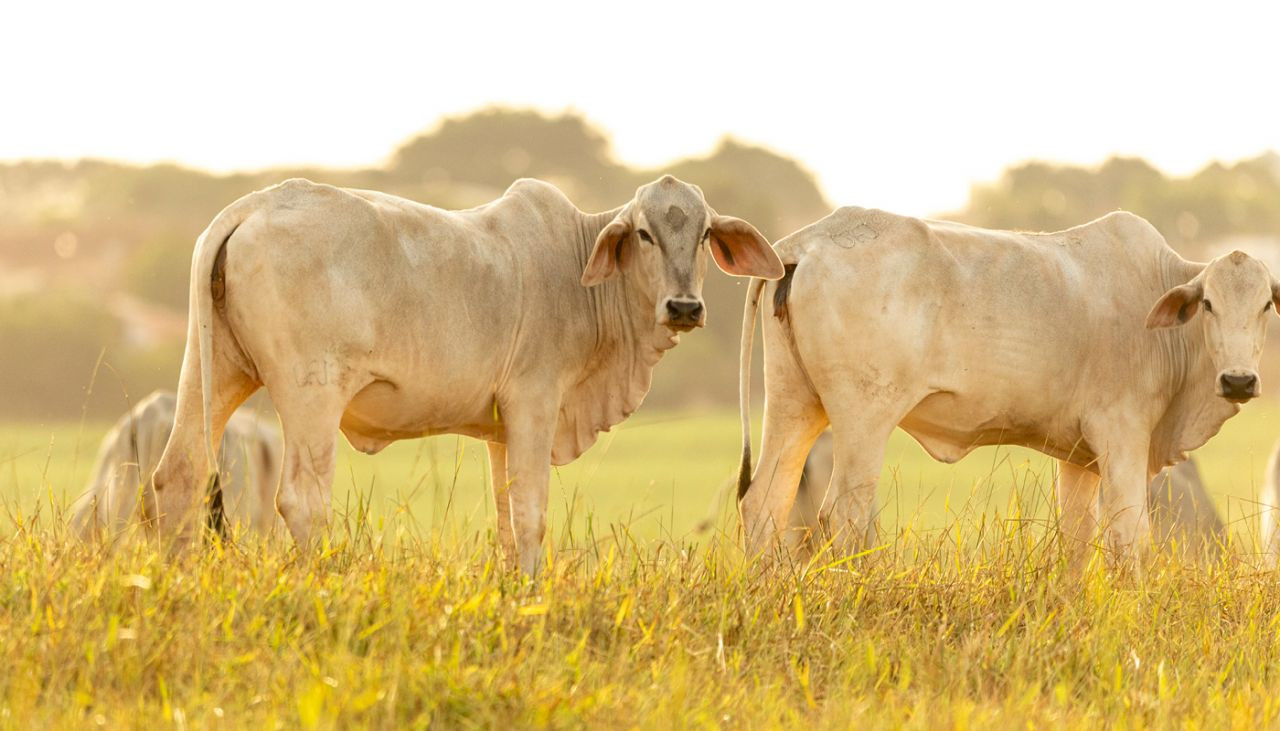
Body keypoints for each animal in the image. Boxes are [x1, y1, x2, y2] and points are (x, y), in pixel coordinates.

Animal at [149, 174, 778, 576]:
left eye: (703, 235)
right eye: (645, 233)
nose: (684, 307)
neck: (579, 273)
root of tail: (256, 204)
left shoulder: (500, 431)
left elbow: (506, 521)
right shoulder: (534, 403)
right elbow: (530, 518)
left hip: (214, 372)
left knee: (178, 477)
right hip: (312, 394)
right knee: (303, 502)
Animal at [742, 208, 1280, 563]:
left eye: (1266, 305)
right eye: (1207, 303)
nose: (1238, 380)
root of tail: (804, 244)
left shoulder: (1079, 458)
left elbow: (1077, 542)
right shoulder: (1122, 437)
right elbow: (1130, 538)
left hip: (793, 405)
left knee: (764, 505)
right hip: (863, 420)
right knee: (843, 517)